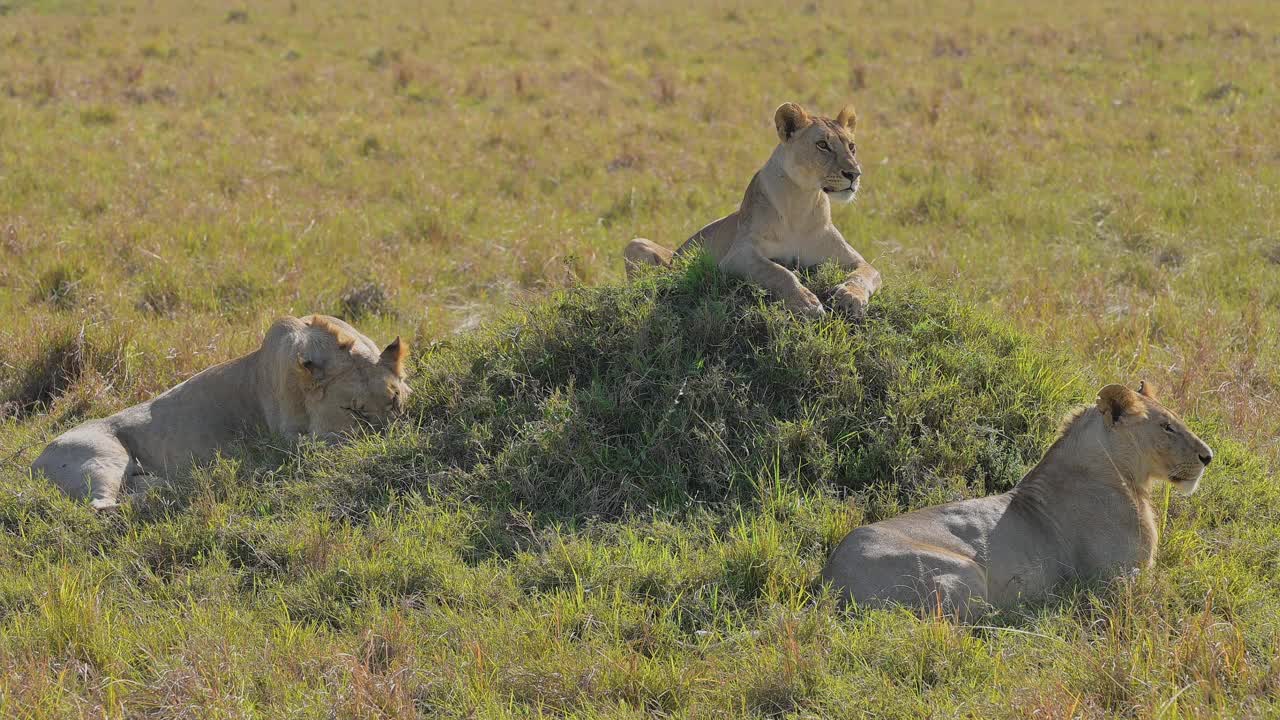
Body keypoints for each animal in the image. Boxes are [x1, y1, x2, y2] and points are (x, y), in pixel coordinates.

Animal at [31, 311, 409, 507]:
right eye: (353, 410)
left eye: (394, 401)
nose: (386, 438)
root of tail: (34, 461)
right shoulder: (283, 438)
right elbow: (322, 443)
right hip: (101, 458)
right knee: (103, 507)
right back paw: (174, 491)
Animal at [624, 101, 885, 316]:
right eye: (822, 145)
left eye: (852, 147)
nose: (854, 174)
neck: (801, 202)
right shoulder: (737, 254)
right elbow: (778, 271)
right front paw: (806, 302)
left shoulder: (853, 259)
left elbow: (866, 273)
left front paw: (850, 297)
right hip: (637, 245)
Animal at [824, 381, 1213, 617]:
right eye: (1166, 426)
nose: (1208, 456)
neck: (1126, 476)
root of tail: (827, 581)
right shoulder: (1111, 579)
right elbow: (1172, 584)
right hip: (967, 572)